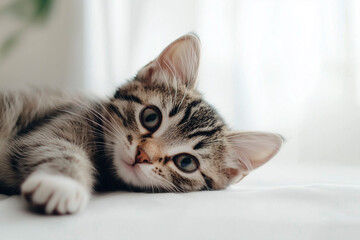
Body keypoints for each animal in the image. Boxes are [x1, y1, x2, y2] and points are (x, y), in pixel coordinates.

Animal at [0, 33, 282, 214]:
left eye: (186, 162)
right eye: (151, 117)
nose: (142, 155)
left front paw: (60, 184)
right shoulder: (51, 127)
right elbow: (59, 149)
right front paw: (60, 184)